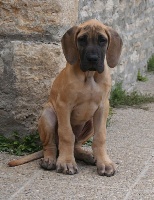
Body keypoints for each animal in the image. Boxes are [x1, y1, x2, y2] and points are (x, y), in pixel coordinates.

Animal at [8, 19, 122, 176]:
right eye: (82, 39)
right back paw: (49, 160)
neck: (89, 76)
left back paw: (87, 155)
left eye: (102, 40)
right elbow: (66, 134)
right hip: (48, 116)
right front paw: (66, 162)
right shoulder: (64, 106)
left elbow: (100, 137)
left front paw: (104, 162)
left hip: (90, 123)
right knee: (50, 145)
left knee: (76, 145)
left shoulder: (103, 107)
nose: (92, 59)